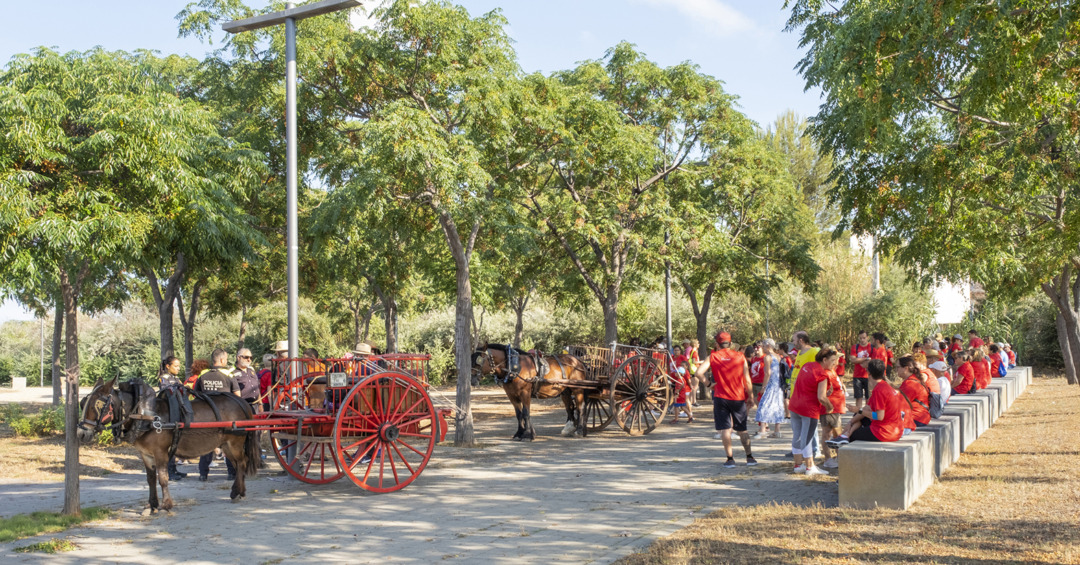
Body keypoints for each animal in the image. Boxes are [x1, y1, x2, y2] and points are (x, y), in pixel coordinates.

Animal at [77, 375, 259, 512]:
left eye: (97, 405)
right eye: (82, 403)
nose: (81, 433)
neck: (145, 416)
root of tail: (242, 402)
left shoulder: (160, 453)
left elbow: (163, 478)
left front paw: (166, 504)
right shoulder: (146, 454)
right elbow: (150, 479)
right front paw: (152, 505)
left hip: (235, 442)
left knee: (242, 462)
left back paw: (236, 491)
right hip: (226, 445)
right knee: (237, 464)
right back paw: (240, 490)